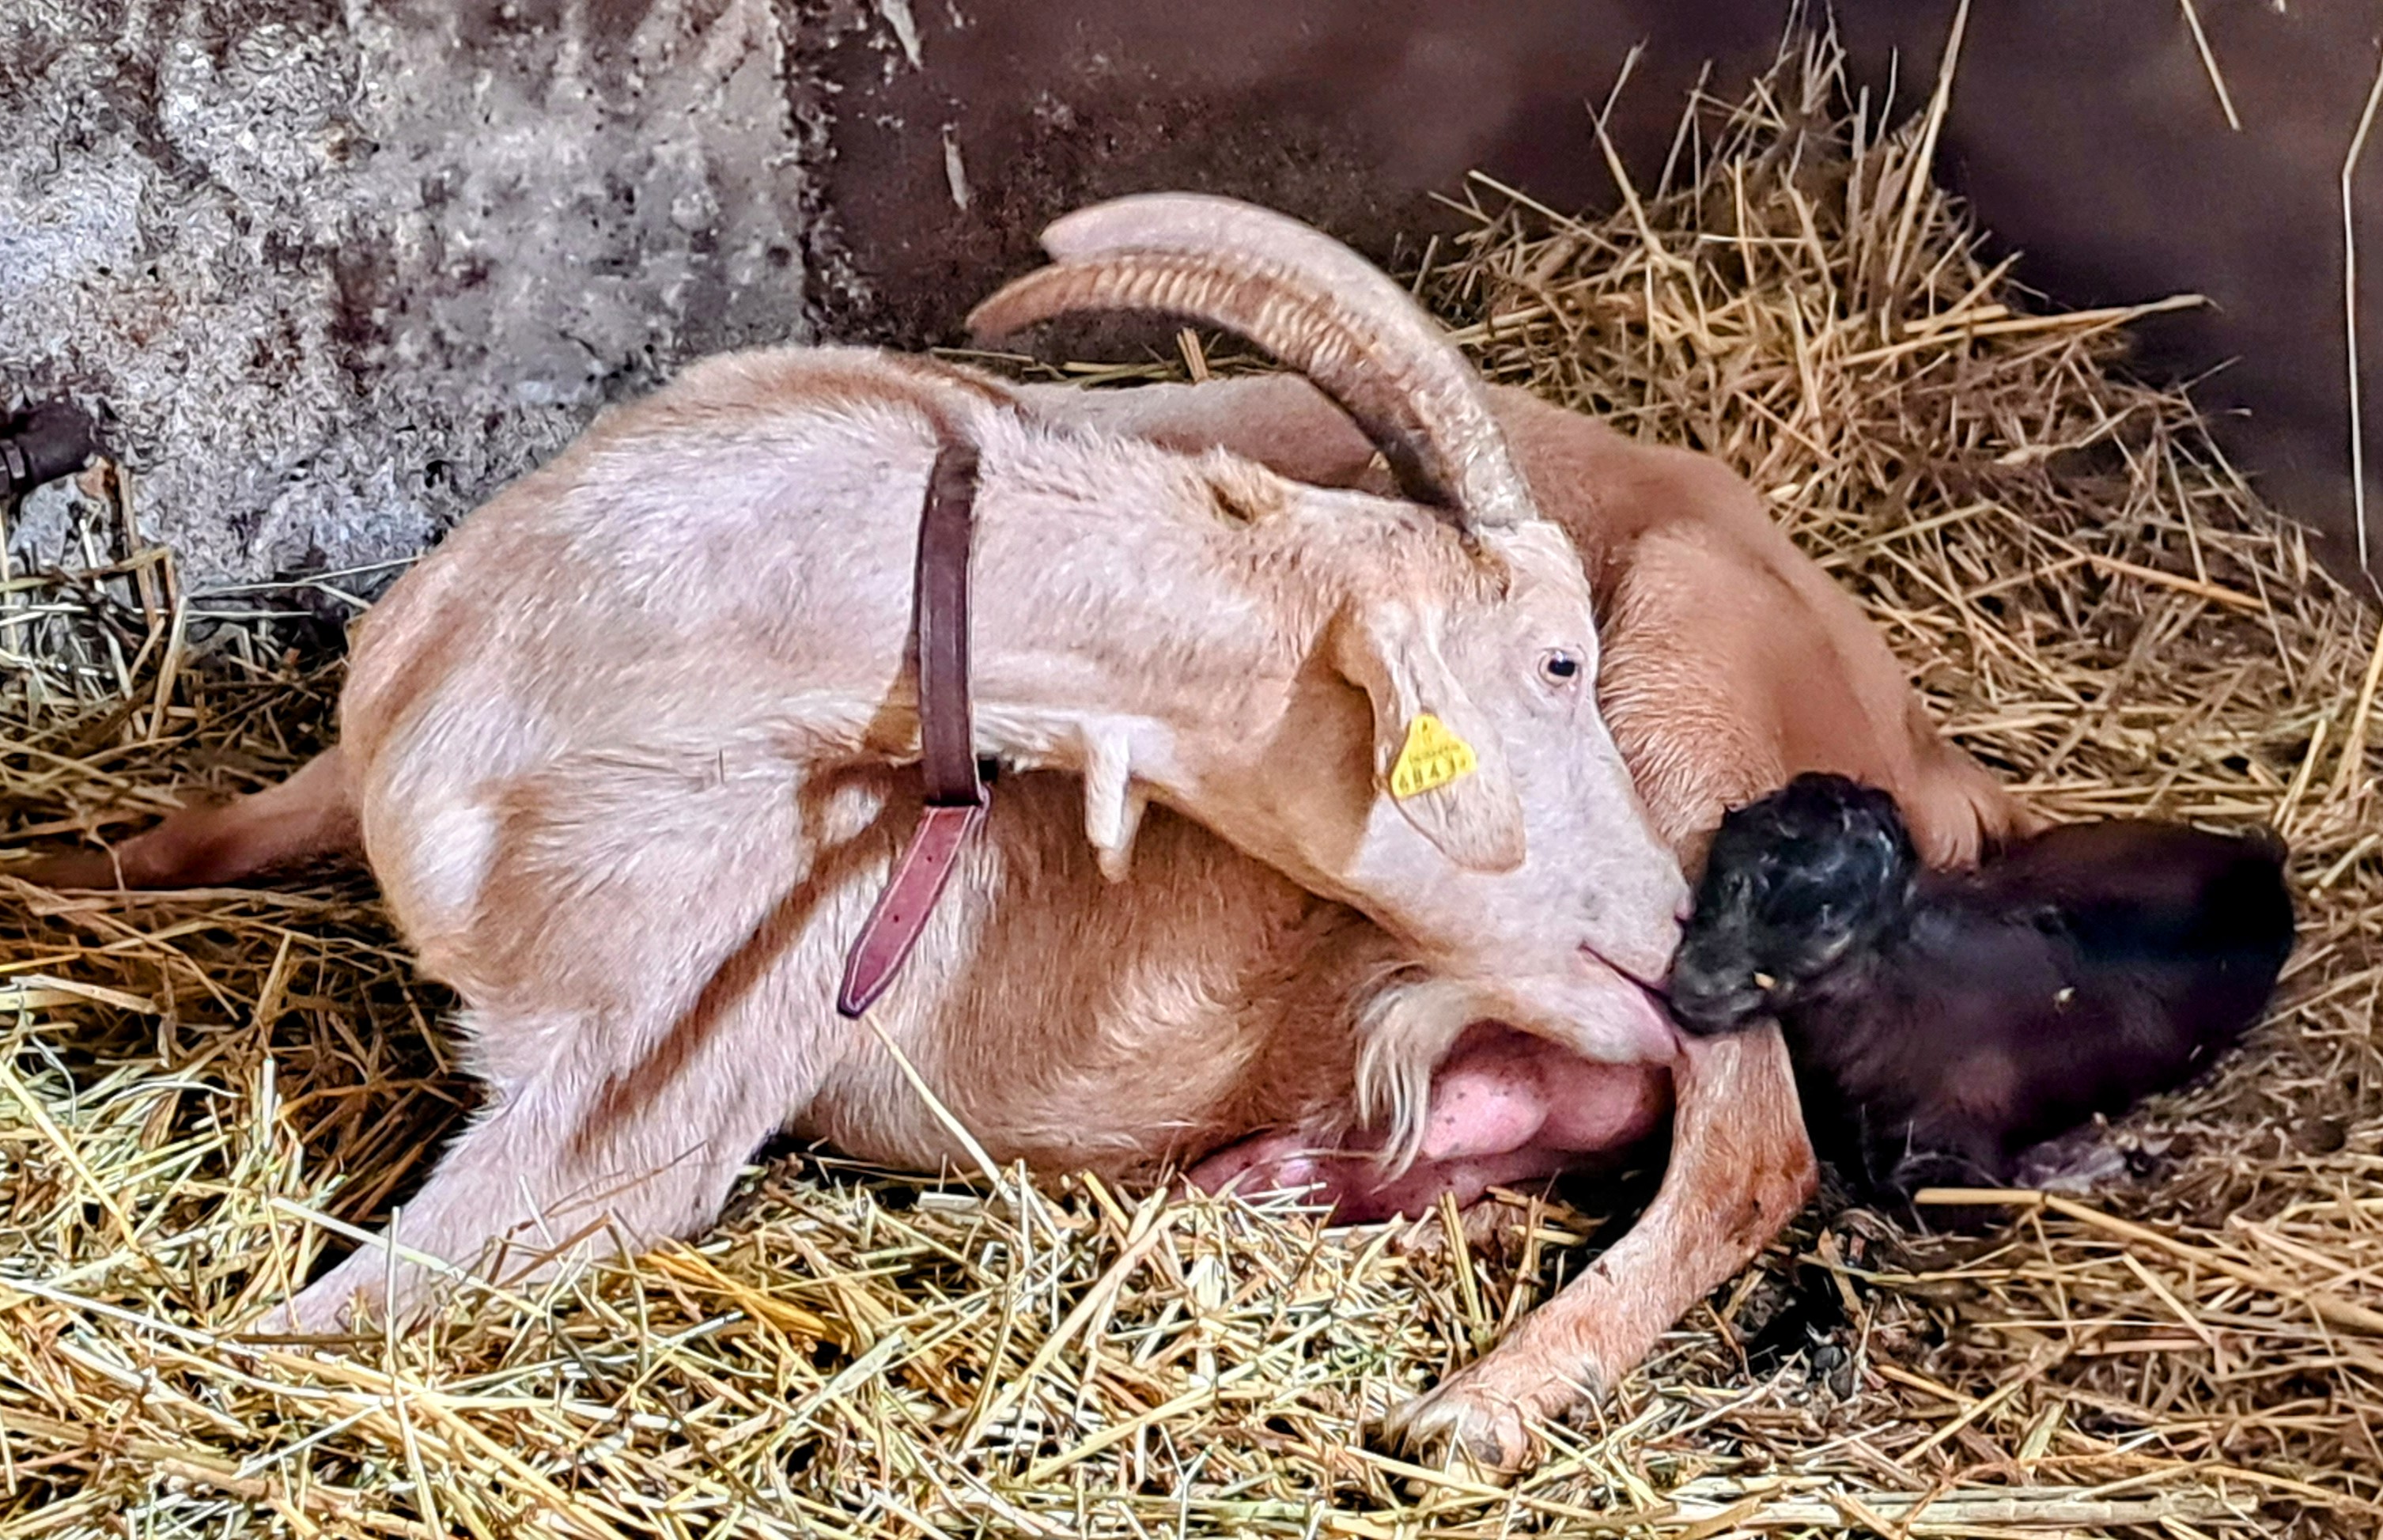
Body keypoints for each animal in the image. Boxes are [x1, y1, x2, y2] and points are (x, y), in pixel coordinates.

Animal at [18, 195, 1697, 1370]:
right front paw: (42, 875)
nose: (1681, 936)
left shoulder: (637, 1104)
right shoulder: (345, 764)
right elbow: (180, 837)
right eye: (1555, 661)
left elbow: (276, 1340)